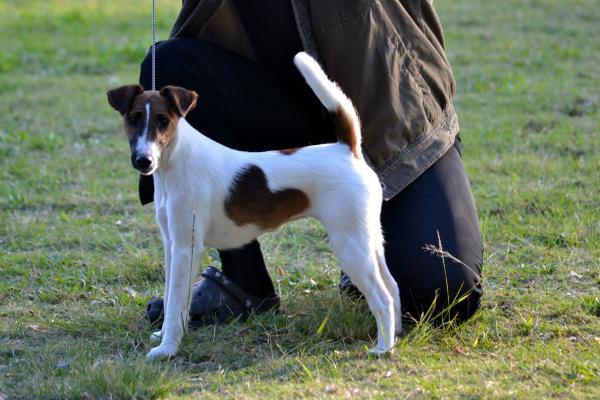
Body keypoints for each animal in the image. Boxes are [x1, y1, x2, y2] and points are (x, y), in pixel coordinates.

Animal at [106, 52, 400, 360]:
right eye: (134, 119)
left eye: (163, 120)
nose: (144, 161)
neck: (176, 163)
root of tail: (347, 149)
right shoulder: (171, 245)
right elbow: (171, 295)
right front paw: (163, 336)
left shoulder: (187, 248)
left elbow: (175, 303)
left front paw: (167, 348)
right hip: (369, 240)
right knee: (393, 287)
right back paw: (395, 336)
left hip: (349, 244)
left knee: (381, 297)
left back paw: (382, 348)